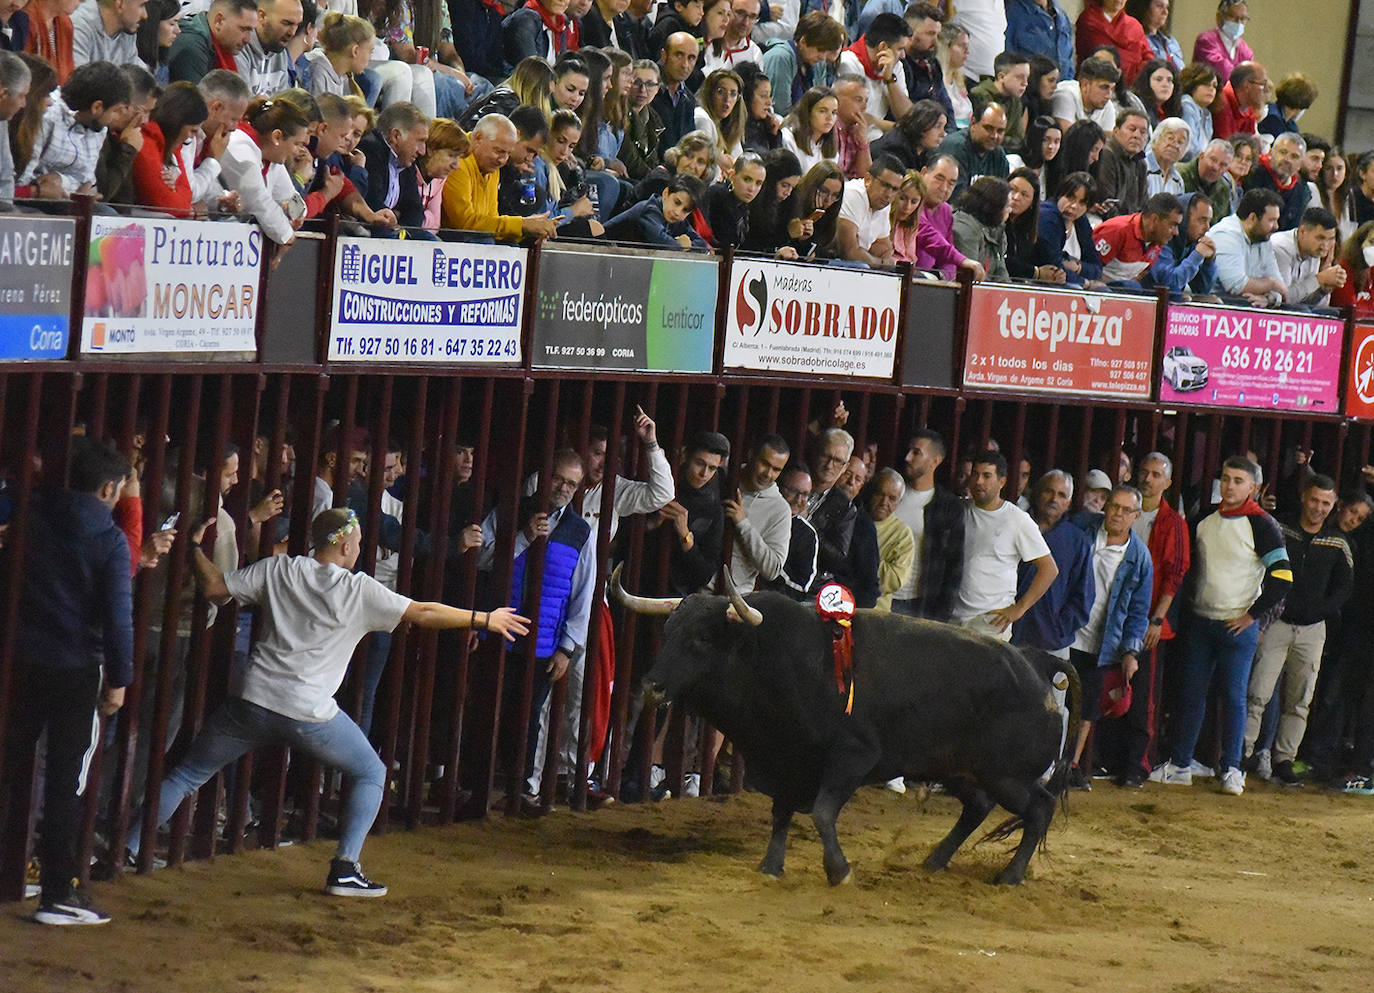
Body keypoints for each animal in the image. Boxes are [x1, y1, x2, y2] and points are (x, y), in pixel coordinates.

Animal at [618, 571, 1077, 889]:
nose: (652, 686)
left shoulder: (852, 758)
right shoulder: (788, 758)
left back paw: (1010, 876)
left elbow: (822, 812)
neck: (776, 659)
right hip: (957, 769)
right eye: (668, 633)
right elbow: (781, 812)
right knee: (978, 806)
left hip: (1007, 777)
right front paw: (770, 867)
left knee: (1039, 808)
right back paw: (933, 861)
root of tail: (1035, 665)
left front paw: (839, 871)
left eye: (701, 638)